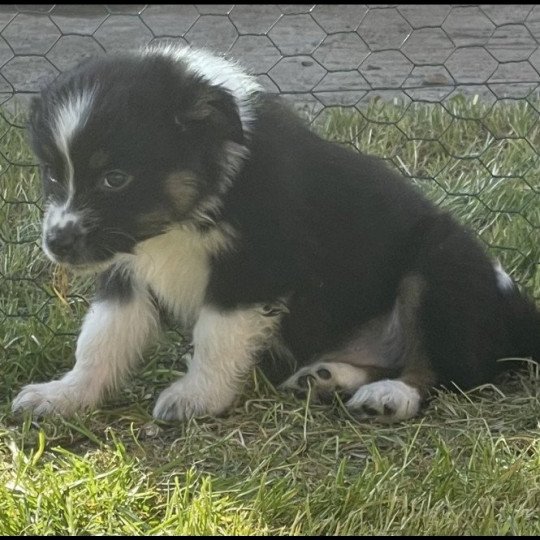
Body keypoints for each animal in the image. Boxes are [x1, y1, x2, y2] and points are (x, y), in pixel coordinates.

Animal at [9, 45, 540, 422]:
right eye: (52, 174)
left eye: (114, 178)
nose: (56, 244)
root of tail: (520, 314)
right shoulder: (127, 272)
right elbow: (100, 339)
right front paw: (64, 395)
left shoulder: (255, 267)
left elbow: (216, 336)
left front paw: (196, 399)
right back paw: (326, 377)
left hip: (439, 266)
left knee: (446, 370)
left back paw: (391, 396)